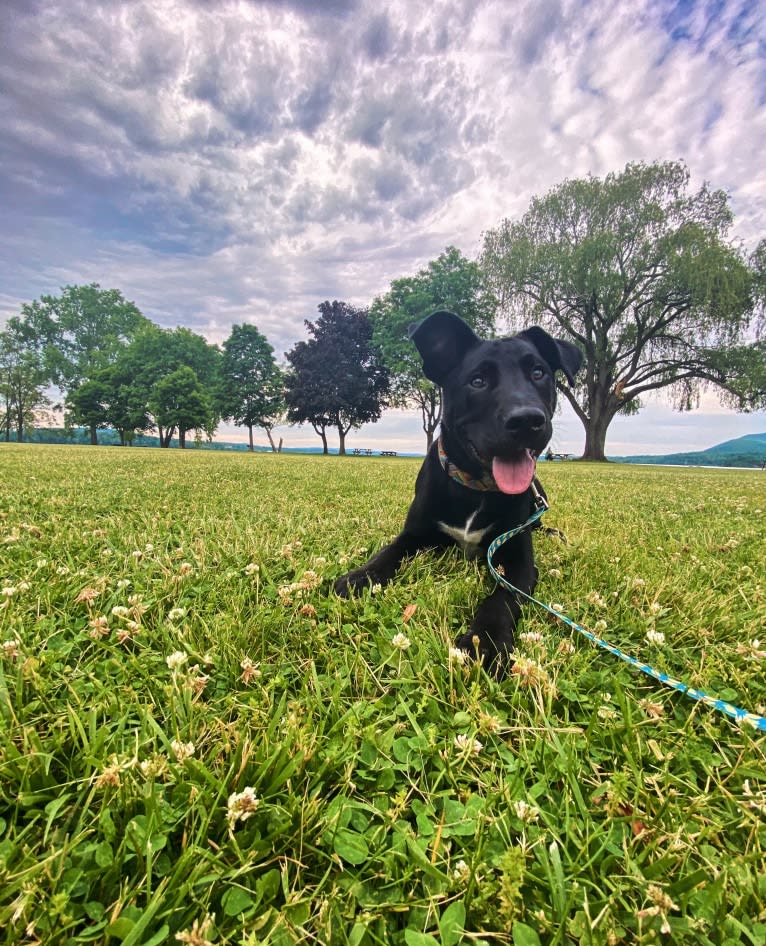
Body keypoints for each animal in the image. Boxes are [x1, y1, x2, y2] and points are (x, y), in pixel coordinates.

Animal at [336, 310, 584, 672]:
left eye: (538, 373)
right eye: (477, 381)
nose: (527, 420)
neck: (475, 487)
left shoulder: (519, 559)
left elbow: (502, 597)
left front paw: (488, 640)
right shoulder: (414, 533)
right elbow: (388, 553)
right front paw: (360, 577)